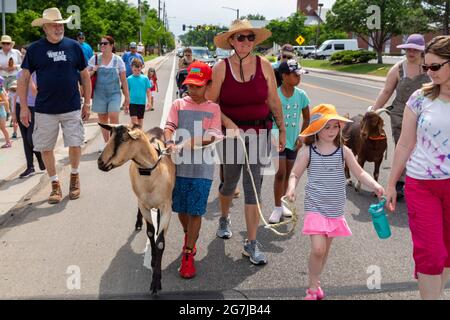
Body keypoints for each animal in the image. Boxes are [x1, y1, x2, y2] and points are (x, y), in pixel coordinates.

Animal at [97, 124, 175, 294]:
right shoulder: (143, 205)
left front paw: (156, 281)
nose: (100, 162)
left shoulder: (167, 206)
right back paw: (138, 223)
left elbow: (160, 242)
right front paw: (153, 259)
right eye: (111, 136)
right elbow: (150, 232)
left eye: (123, 139)